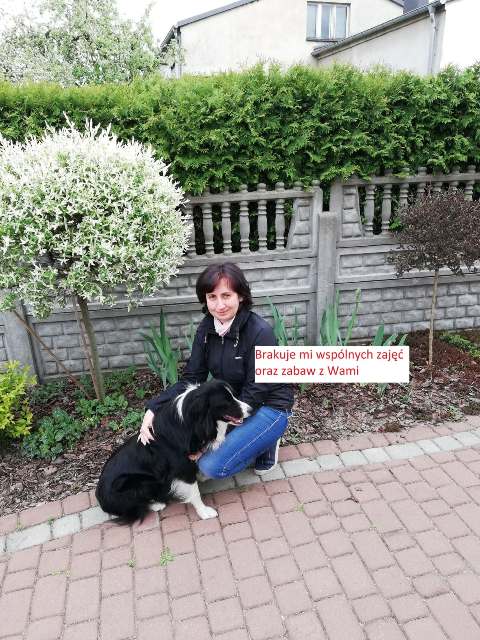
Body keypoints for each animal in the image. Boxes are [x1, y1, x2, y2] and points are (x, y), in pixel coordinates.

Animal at [96, 379, 251, 523]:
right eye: (226, 401)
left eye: (234, 395)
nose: (251, 409)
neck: (194, 423)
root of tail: (100, 497)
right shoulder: (182, 467)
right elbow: (194, 491)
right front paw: (204, 511)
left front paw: (201, 477)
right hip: (137, 483)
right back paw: (156, 504)